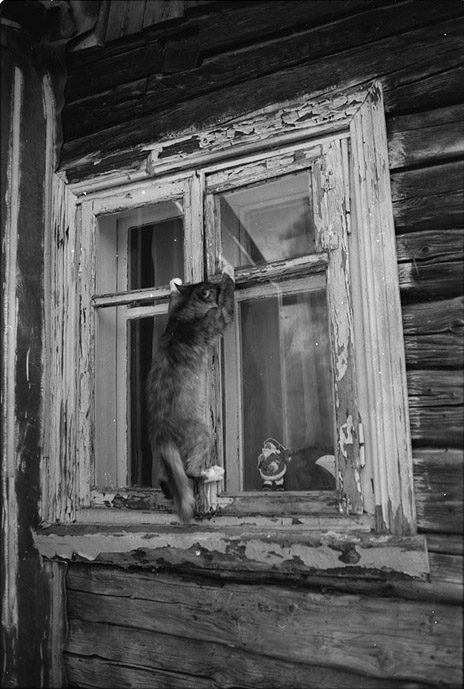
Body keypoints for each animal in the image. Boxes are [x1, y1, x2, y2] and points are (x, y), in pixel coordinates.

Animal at [146, 267, 235, 523]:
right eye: (209, 287)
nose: (214, 282)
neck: (183, 316)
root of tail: (160, 434)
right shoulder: (219, 318)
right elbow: (227, 300)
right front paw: (228, 273)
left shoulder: (174, 310)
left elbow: (173, 298)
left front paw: (174, 283)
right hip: (203, 434)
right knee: (192, 473)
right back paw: (214, 473)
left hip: (166, 463)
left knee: (168, 480)